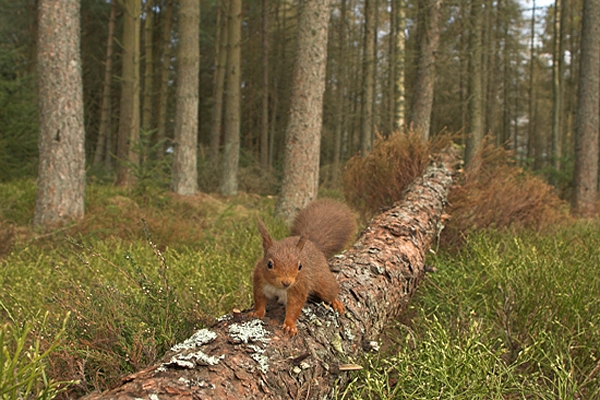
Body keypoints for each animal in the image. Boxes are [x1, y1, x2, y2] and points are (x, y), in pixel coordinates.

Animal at [250, 199, 356, 334]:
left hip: (323, 281)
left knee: (330, 290)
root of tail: (313, 245)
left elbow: (294, 308)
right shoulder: (259, 281)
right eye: (269, 264)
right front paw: (257, 313)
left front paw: (289, 325)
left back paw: (335, 302)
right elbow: (259, 299)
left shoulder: (299, 287)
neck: (278, 288)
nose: (286, 282)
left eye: (300, 266)